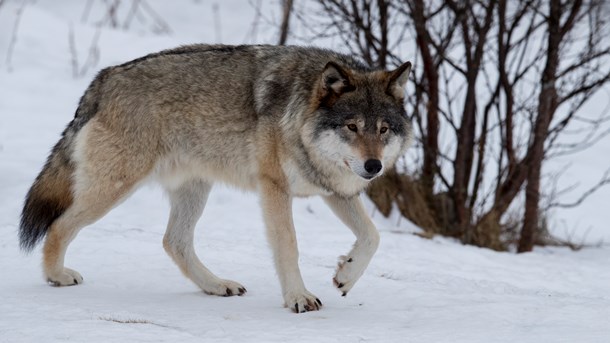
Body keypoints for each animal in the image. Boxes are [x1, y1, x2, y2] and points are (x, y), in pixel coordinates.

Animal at [19, 45, 410, 314]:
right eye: (352, 127)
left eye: (383, 129)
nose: (373, 166)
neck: (298, 116)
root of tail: (105, 77)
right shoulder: (274, 188)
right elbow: (289, 246)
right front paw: (298, 298)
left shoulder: (336, 191)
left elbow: (372, 237)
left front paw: (346, 274)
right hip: (116, 188)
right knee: (59, 225)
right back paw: (56, 276)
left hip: (193, 189)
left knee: (173, 242)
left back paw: (216, 285)